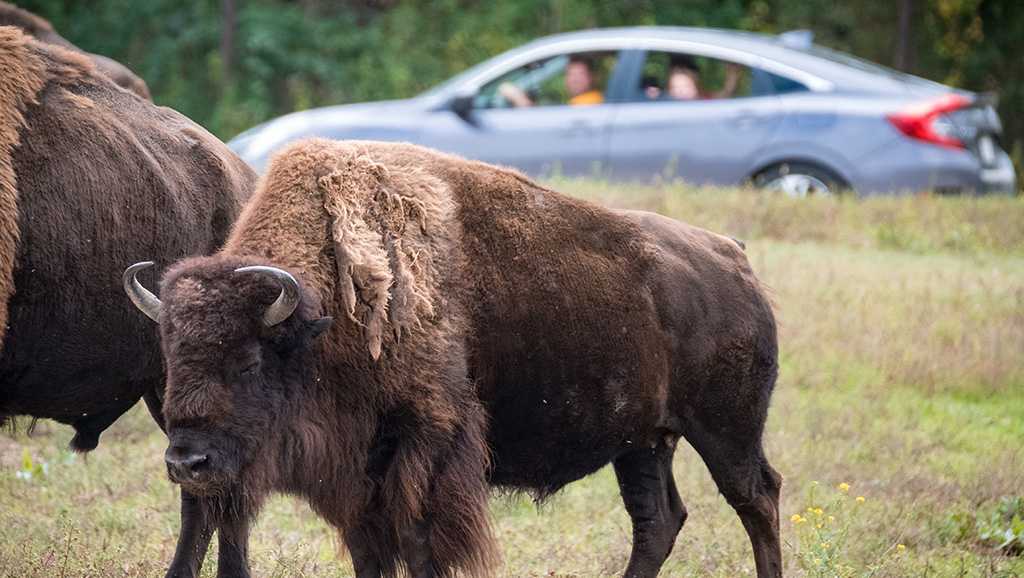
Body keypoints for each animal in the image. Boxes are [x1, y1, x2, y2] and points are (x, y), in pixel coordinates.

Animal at [125, 140, 782, 578]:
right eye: (173, 362)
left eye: (249, 363)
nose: (187, 462)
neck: (325, 317)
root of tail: (735, 259)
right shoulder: (359, 474)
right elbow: (370, 552)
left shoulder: (427, 447)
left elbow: (419, 546)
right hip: (644, 441)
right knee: (658, 522)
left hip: (727, 431)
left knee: (758, 499)